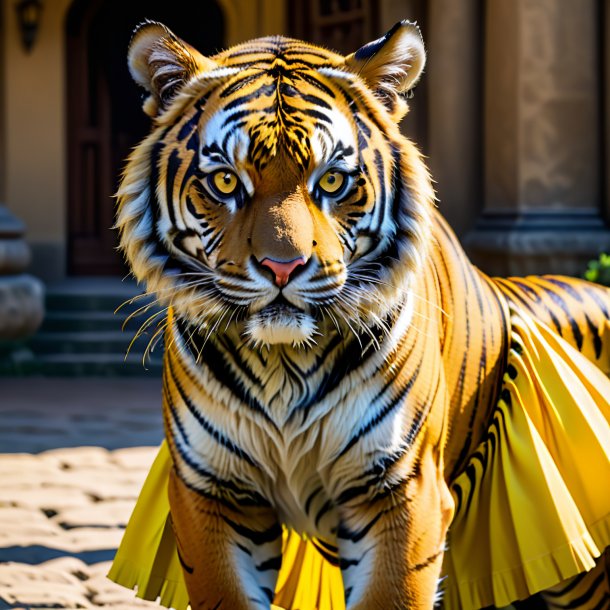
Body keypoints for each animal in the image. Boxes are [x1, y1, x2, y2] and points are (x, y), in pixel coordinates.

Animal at [109, 19, 608, 608]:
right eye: (226, 181)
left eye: (331, 180)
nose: (282, 267)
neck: (284, 367)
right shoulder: (213, 492)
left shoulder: (399, 490)